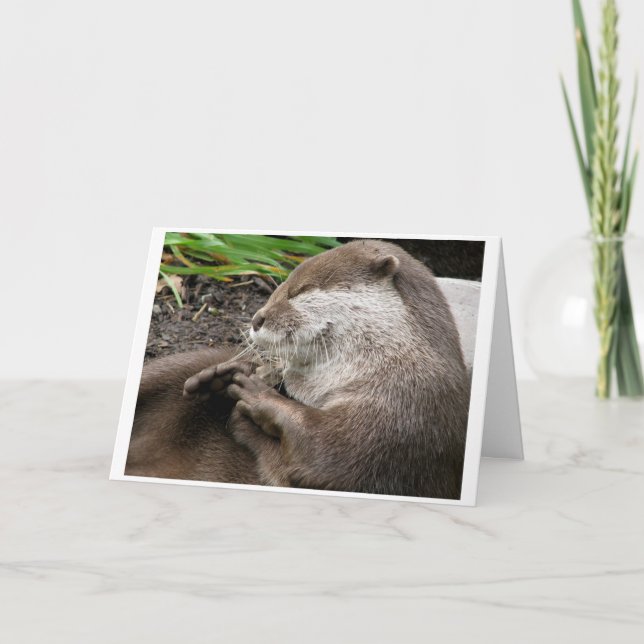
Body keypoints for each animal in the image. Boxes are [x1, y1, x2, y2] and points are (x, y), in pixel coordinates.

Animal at [127, 240, 470, 500]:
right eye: (278, 289)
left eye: (298, 291)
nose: (257, 319)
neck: (391, 361)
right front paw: (221, 377)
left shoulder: (405, 408)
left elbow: (326, 454)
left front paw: (254, 394)